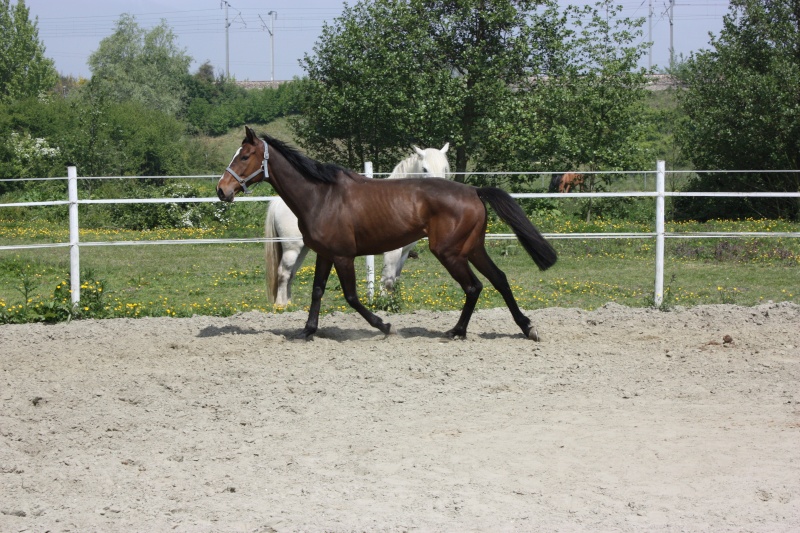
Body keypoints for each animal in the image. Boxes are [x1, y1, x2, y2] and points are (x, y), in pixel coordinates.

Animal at [264, 143, 450, 306]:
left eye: (445, 168)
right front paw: (383, 304)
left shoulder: (404, 251)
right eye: (424, 169)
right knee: (283, 272)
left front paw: (393, 302)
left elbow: (395, 279)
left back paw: (289, 303)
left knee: (291, 273)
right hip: (292, 247)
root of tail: (278, 202)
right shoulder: (392, 252)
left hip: (303, 248)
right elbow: (387, 280)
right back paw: (281, 306)